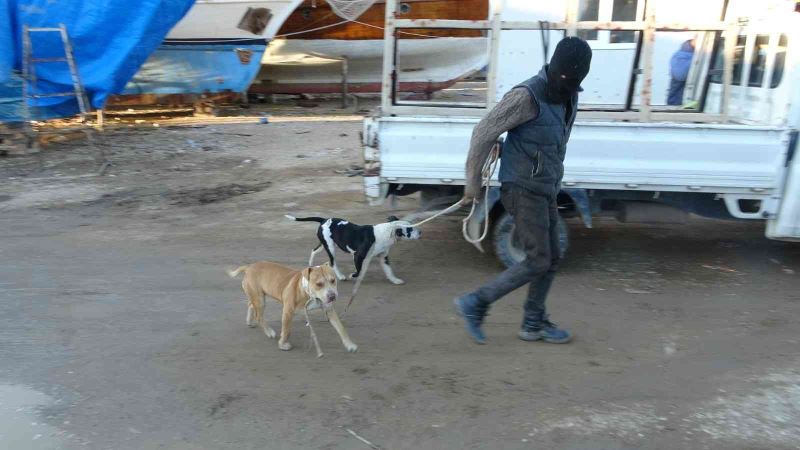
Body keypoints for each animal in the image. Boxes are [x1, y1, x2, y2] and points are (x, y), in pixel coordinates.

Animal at [230, 262, 358, 354]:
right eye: (319, 284)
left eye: (333, 280)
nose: (332, 296)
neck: (309, 293)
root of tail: (248, 267)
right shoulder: (288, 311)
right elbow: (286, 330)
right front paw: (282, 344)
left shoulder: (330, 310)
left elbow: (341, 328)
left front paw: (350, 345)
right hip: (260, 299)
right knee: (259, 315)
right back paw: (269, 331)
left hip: (257, 297)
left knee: (251, 305)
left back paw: (249, 321)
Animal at [284, 214, 422, 284]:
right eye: (410, 229)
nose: (420, 232)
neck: (388, 231)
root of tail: (324, 220)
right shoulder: (358, 256)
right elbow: (359, 271)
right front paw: (352, 275)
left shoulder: (383, 257)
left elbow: (389, 270)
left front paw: (394, 280)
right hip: (330, 247)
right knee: (332, 262)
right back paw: (341, 276)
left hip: (324, 244)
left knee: (314, 250)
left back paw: (310, 264)